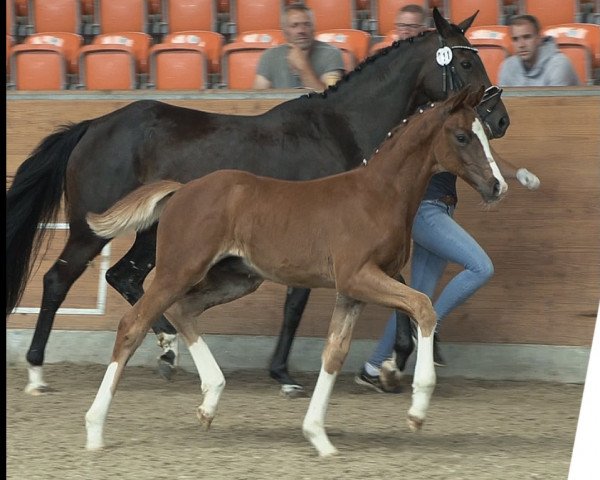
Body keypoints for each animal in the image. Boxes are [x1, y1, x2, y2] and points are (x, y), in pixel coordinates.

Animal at [84, 87, 506, 458]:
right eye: (463, 136)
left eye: (485, 134)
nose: (497, 186)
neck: (379, 195)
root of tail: (181, 190)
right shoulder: (357, 276)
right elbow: (422, 306)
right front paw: (417, 410)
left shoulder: (351, 292)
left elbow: (334, 354)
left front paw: (318, 436)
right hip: (179, 268)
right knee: (134, 324)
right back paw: (95, 429)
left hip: (237, 279)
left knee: (181, 310)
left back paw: (210, 400)